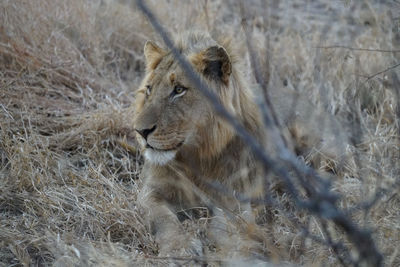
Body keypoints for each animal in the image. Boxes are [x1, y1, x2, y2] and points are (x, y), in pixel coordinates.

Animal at [133, 31, 348, 260]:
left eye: (179, 90)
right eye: (148, 90)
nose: (140, 131)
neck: (197, 156)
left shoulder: (235, 199)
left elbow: (224, 225)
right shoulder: (150, 192)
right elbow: (163, 219)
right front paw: (178, 248)